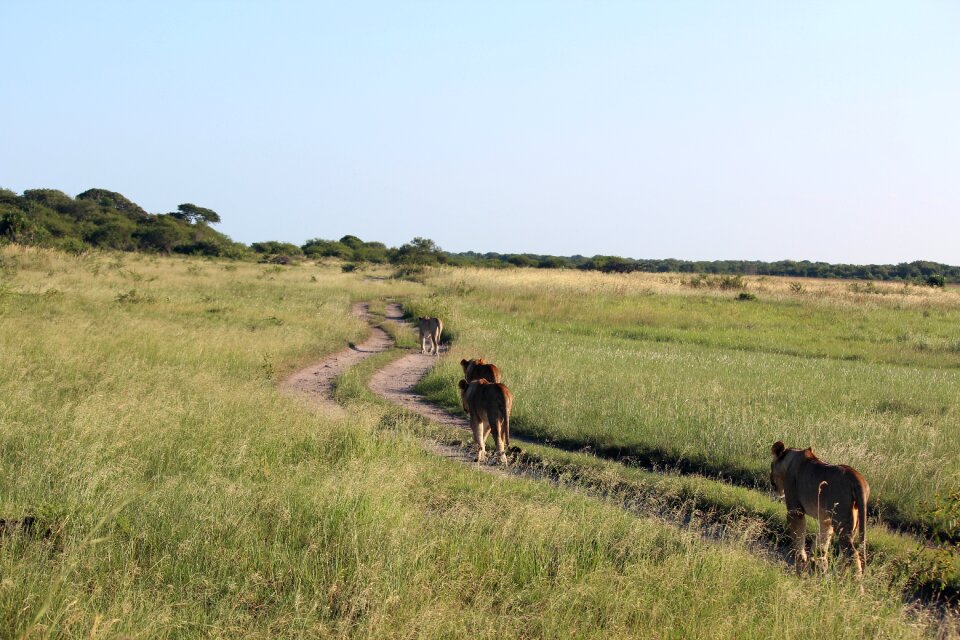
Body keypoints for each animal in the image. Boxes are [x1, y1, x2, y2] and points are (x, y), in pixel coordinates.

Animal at [772, 440, 872, 576]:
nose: (773, 485)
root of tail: (858, 478)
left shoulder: (795, 510)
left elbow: (798, 535)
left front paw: (800, 557)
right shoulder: (826, 518)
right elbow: (823, 539)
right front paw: (817, 559)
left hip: (842, 522)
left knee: (852, 554)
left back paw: (849, 580)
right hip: (853, 520)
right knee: (845, 554)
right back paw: (837, 574)